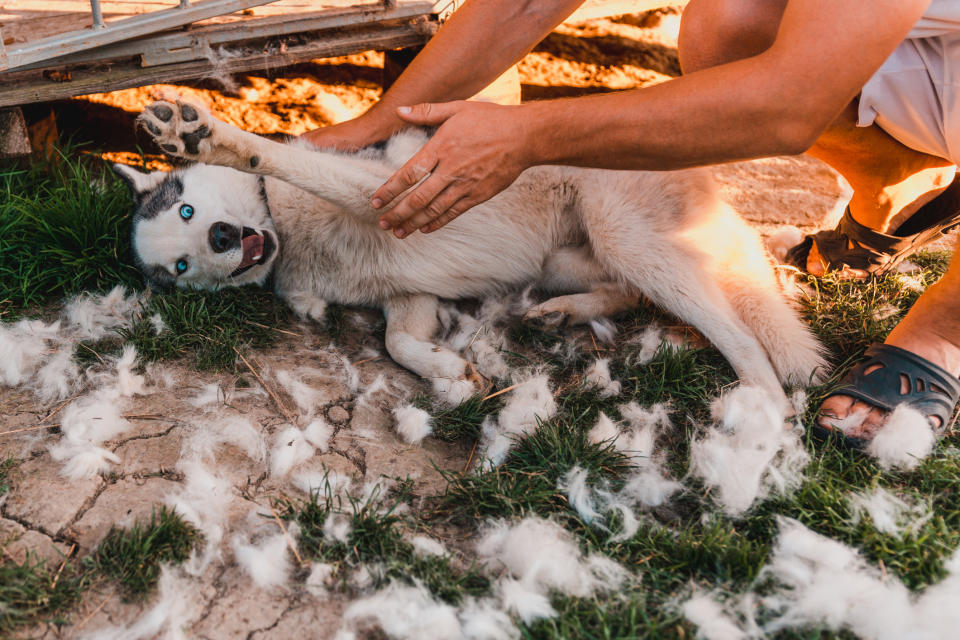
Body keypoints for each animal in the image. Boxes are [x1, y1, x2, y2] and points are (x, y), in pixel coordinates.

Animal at [120, 101, 824, 404]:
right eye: (180, 267)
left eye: (187, 210)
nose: (219, 238)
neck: (293, 239)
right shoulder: (410, 295)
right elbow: (398, 343)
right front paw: (451, 372)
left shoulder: (378, 191)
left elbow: (278, 155)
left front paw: (206, 136)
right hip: (568, 258)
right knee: (627, 292)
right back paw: (562, 313)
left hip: (628, 236)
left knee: (742, 335)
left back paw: (761, 410)